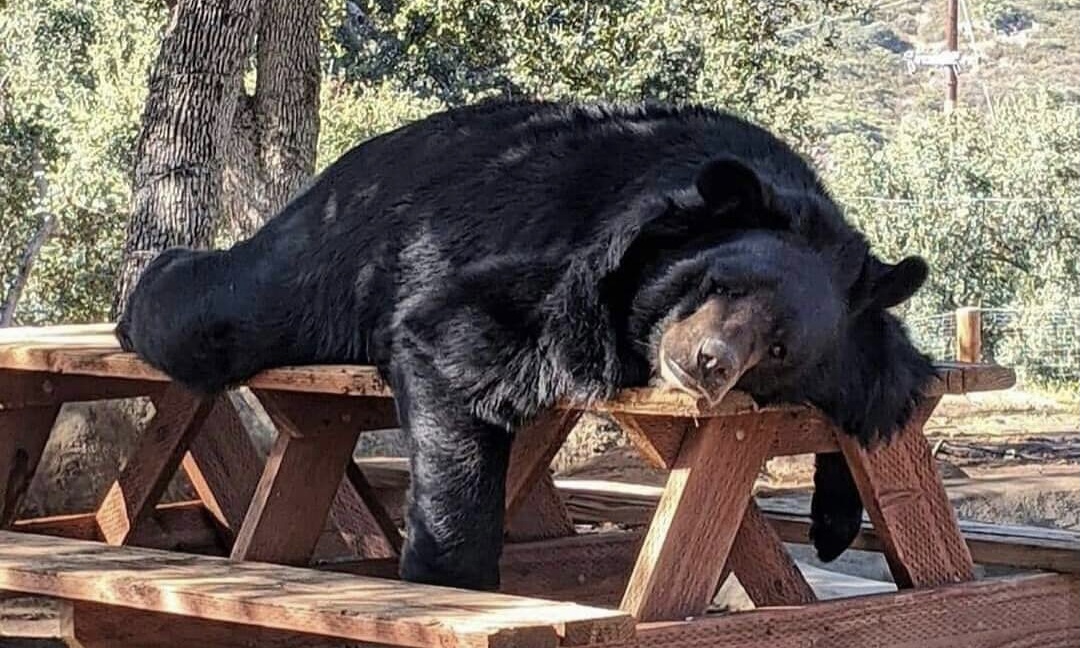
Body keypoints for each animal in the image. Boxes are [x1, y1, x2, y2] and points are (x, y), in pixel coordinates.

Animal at [113, 98, 933, 591]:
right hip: (332, 255)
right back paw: (144, 288)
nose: (706, 363)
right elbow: (458, 343)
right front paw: (450, 576)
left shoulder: (860, 324)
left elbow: (883, 388)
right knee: (214, 312)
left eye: (780, 348)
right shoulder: (567, 269)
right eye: (718, 281)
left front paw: (834, 521)